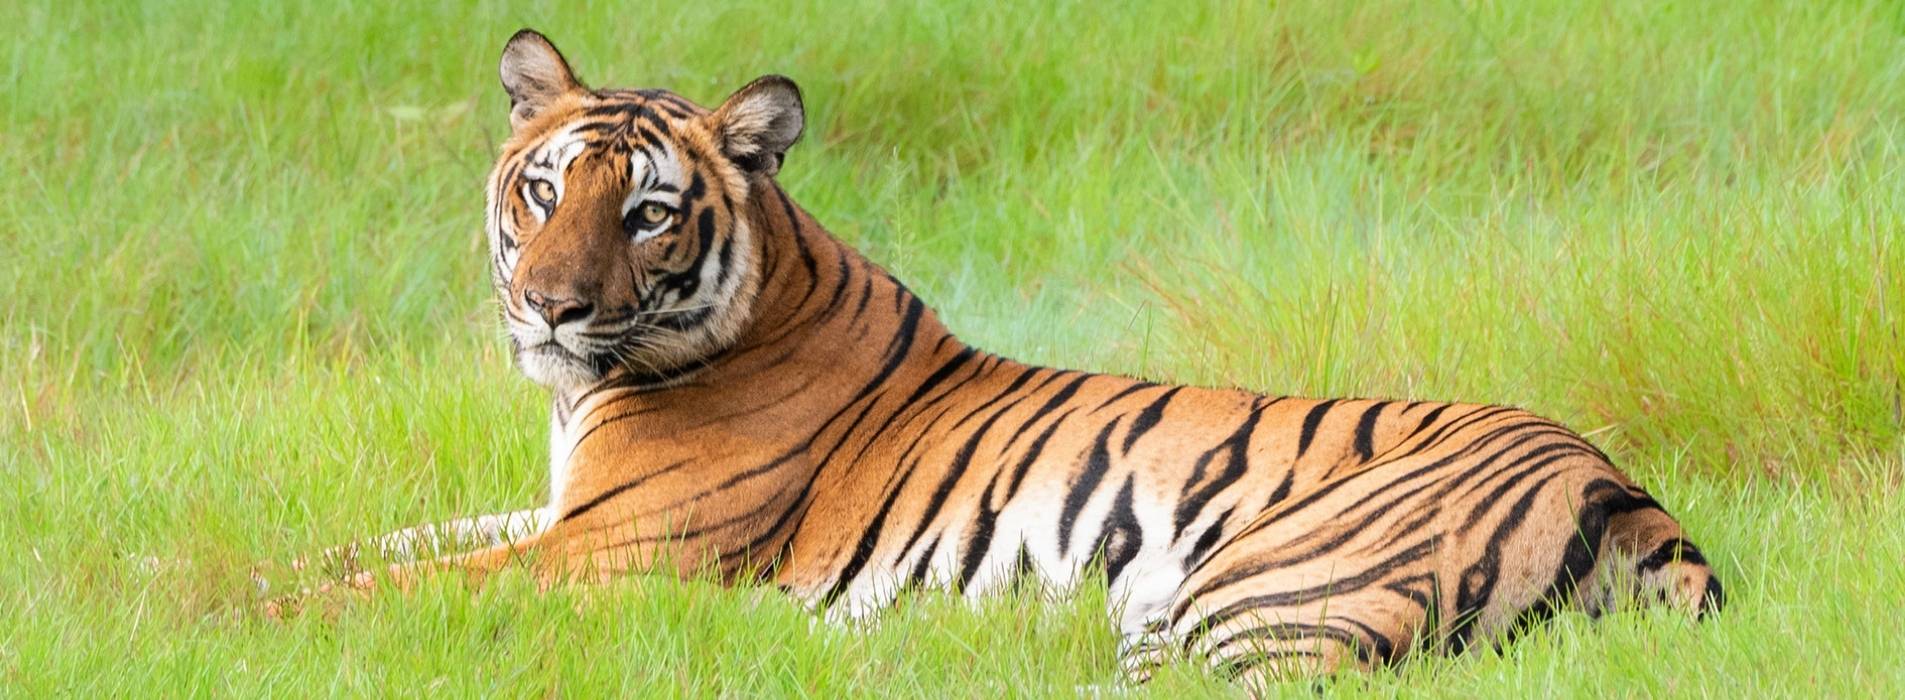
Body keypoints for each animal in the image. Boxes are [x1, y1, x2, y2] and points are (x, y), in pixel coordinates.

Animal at [289, 29, 1724, 685]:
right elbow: (357, 550)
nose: (547, 307)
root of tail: (1617, 482)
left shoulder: (606, 552)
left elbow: (384, 588)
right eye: (542, 191)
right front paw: (235, 570)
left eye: (643, 213)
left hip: (1258, 590)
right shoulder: (553, 517)